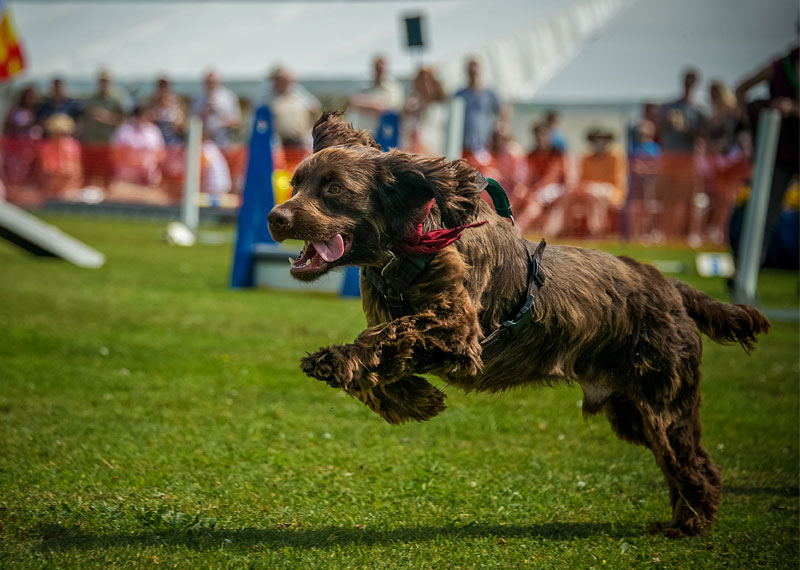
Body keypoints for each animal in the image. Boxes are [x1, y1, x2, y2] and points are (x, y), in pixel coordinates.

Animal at [268, 112, 768, 536]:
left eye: (334, 189)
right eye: (296, 183)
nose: (276, 217)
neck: (408, 247)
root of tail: (672, 286)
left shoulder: (458, 331)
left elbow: (386, 337)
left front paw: (337, 361)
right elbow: (383, 363)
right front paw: (415, 399)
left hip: (664, 399)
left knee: (696, 465)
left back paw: (692, 524)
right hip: (631, 408)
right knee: (676, 465)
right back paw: (682, 519)